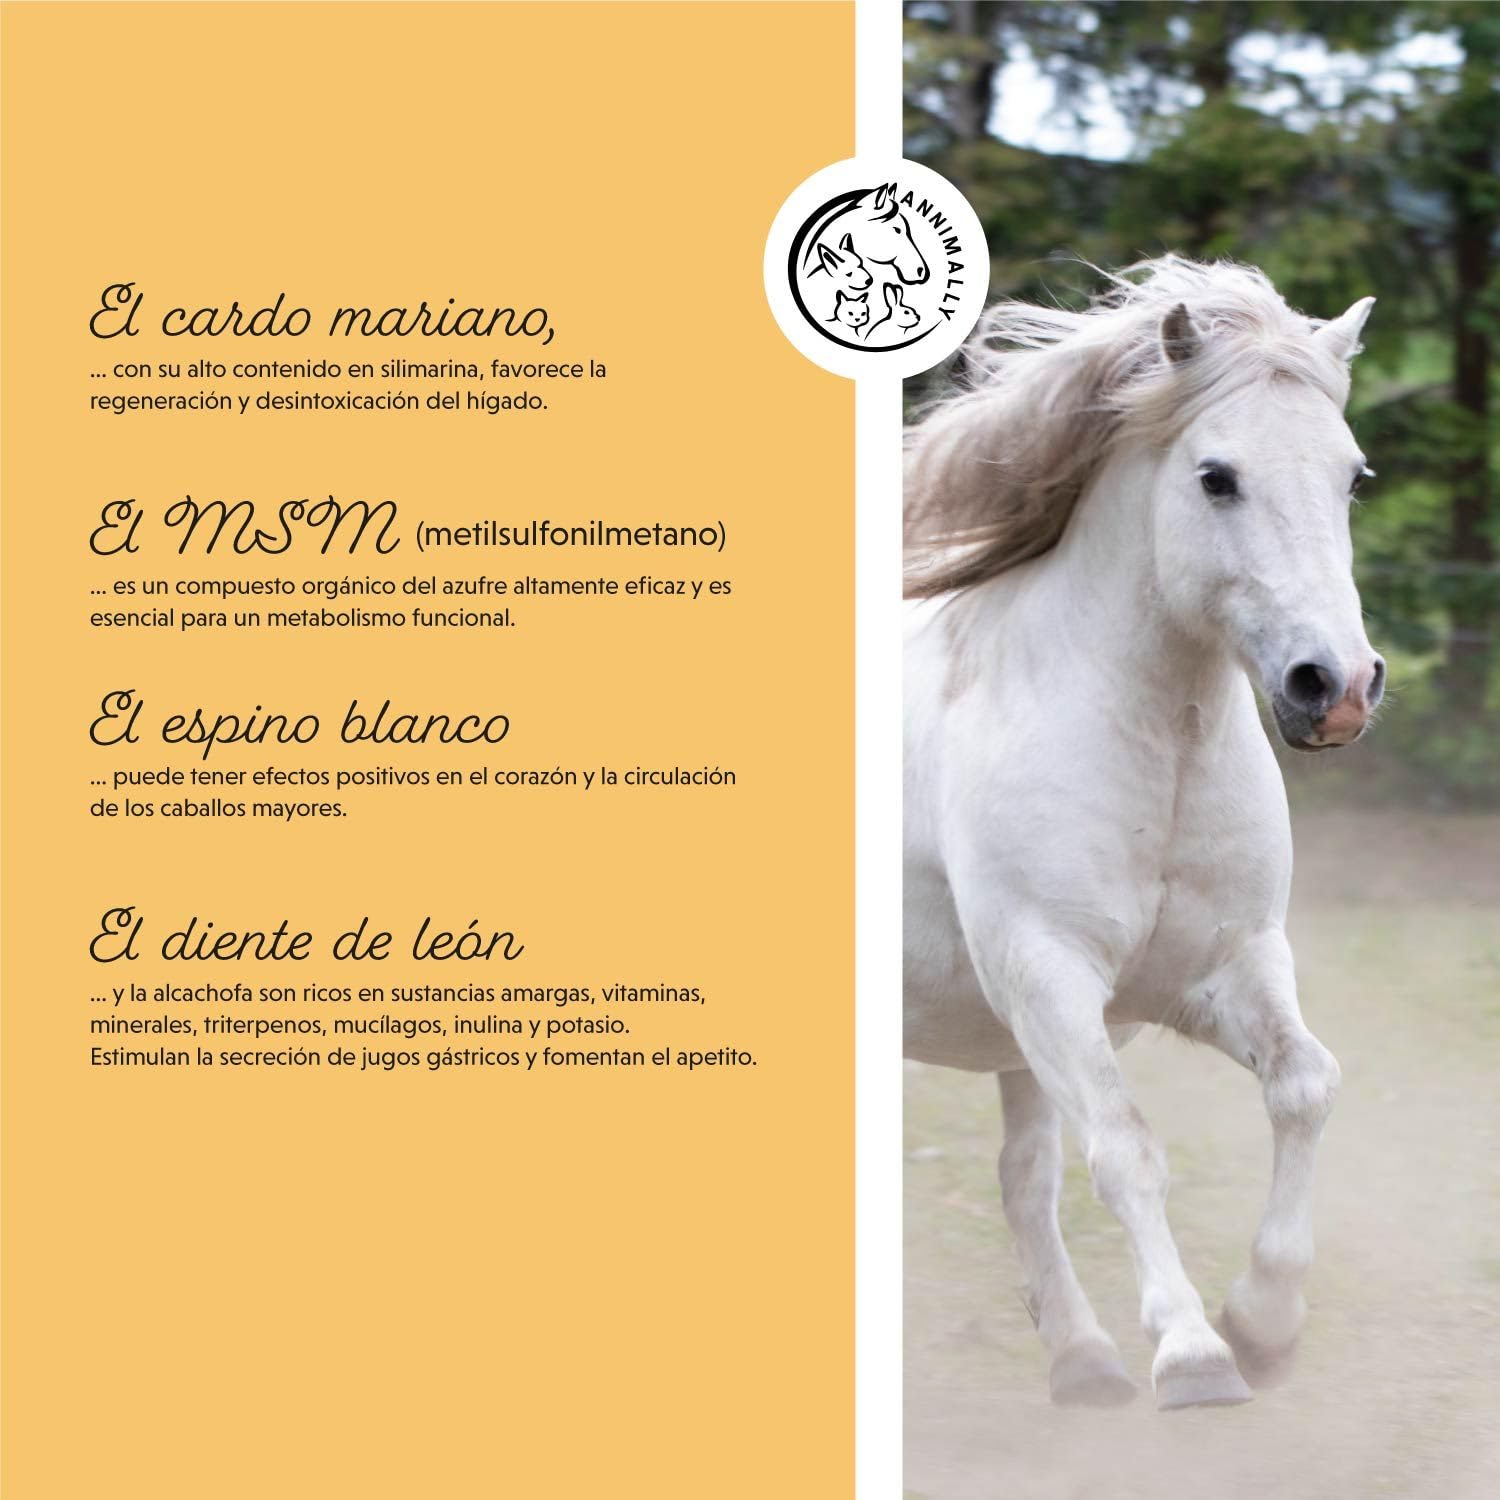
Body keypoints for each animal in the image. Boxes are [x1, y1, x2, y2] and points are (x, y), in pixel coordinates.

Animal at [903, 256, 1383, 1412]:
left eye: (1353, 477)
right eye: (1216, 477)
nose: (1337, 688)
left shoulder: (1220, 967)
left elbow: (1305, 1086)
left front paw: (1264, 1322)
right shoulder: (1050, 975)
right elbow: (1125, 1150)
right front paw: (1195, 1354)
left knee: (1024, 1180)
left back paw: (1083, 1362)